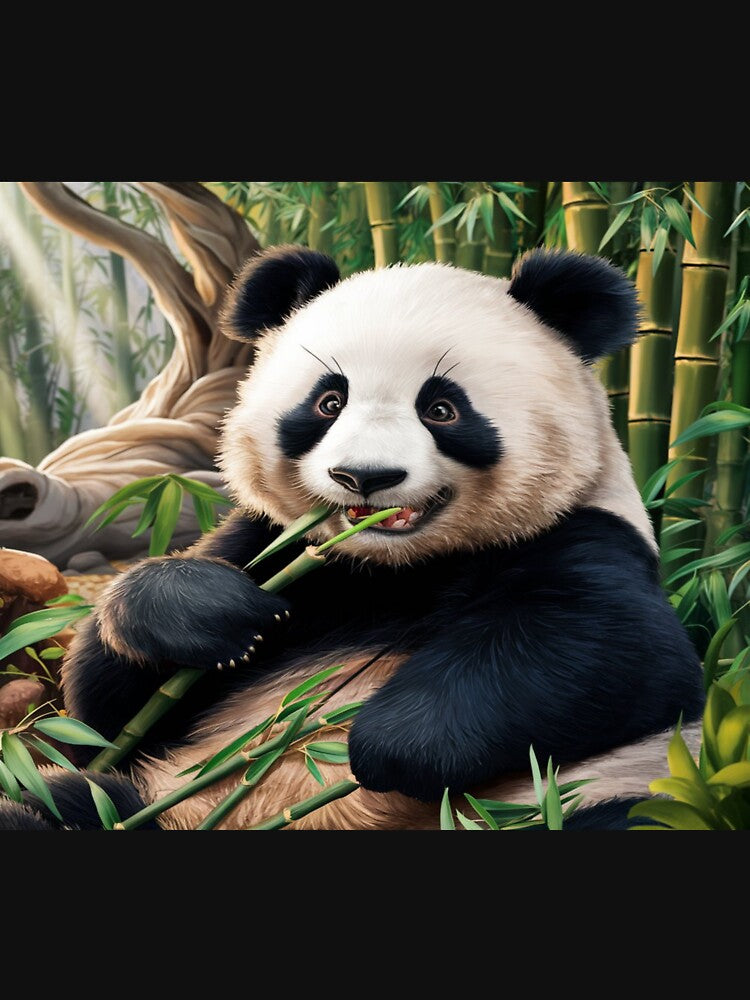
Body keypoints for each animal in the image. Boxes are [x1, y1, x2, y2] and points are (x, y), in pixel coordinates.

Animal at [0, 244, 705, 831]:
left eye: (441, 408)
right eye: (329, 402)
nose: (364, 477)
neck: (397, 568)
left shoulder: (583, 533)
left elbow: (609, 653)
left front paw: (385, 743)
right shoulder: (284, 549)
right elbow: (106, 711)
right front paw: (212, 614)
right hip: (150, 797)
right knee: (64, 802)